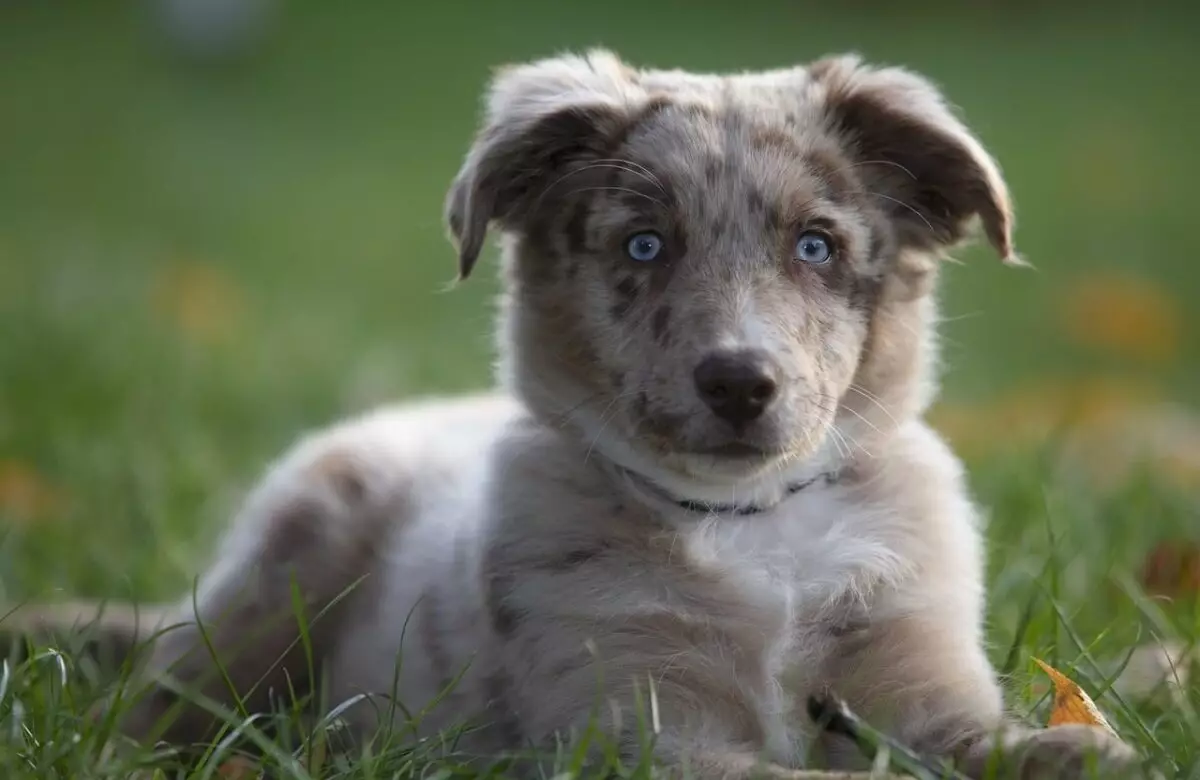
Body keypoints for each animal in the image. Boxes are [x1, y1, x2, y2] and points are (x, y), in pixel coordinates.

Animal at [2, 51, 1142, 772]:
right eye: (644, 244)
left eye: (816, 245)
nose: (739, 383)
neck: (753, 527)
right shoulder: (638, 730)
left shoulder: (918, 679)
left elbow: (987, 743)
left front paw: (1075, 745)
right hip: (274, 584)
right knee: (159, 702)